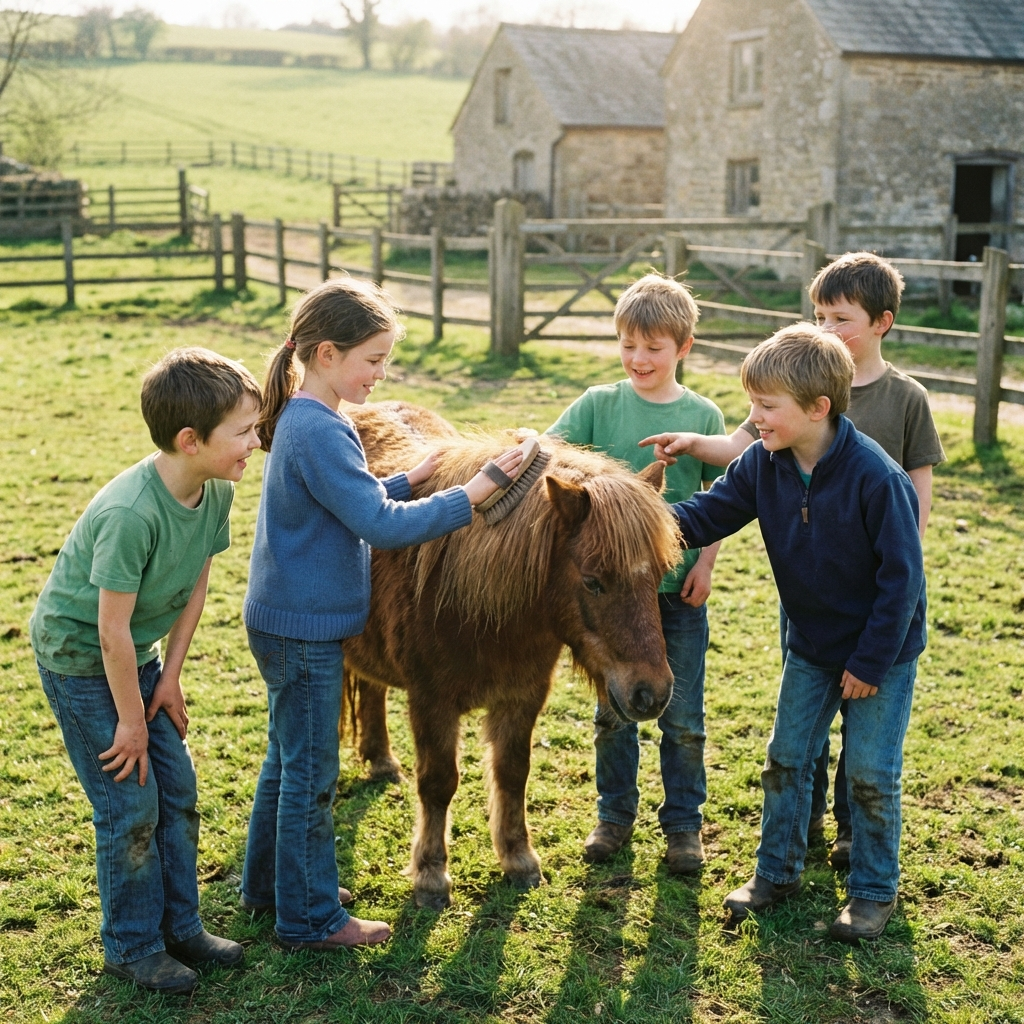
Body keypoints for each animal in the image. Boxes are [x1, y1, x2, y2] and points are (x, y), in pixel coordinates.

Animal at [342, 401, 681, 909]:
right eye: (593, 581)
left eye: (660, 573)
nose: (652, 693)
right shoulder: (431, 702)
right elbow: (438, 783)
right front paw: (431, 875)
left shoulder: (523, 697)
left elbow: (512, 772)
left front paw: (518, 858)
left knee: (372, 686)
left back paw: (380, 758)